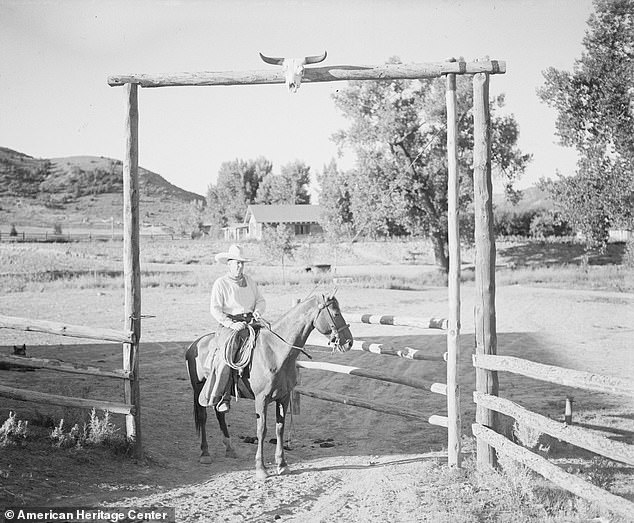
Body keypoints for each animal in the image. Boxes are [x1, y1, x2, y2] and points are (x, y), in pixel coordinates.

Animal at [183, 292, 354, 482]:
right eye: (336, 313)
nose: (349, 342)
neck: (276, 352)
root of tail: (194, 345)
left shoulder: (284, 397)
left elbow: (280, 428)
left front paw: (282, 464)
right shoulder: (261, 399)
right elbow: (262, 430)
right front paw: (261, 469)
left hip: (219, 392)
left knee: (220, 414)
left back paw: (230, 448)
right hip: (198, 389)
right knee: (203, 416)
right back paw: (205, 453)